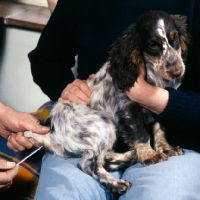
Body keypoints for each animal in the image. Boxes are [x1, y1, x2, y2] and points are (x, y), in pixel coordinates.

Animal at [24, 10, 188, 193]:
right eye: (153, 45)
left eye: (175, 39)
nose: (177, 71)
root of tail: (52, 132)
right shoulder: (129, 108)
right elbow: (141, 134)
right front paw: (149, 155)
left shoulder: (161, 106)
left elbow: (160, 130)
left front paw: (166, 148)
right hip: (103, 126)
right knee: (88, 164)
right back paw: (117, 183)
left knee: (102, 158)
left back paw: (130, 156)